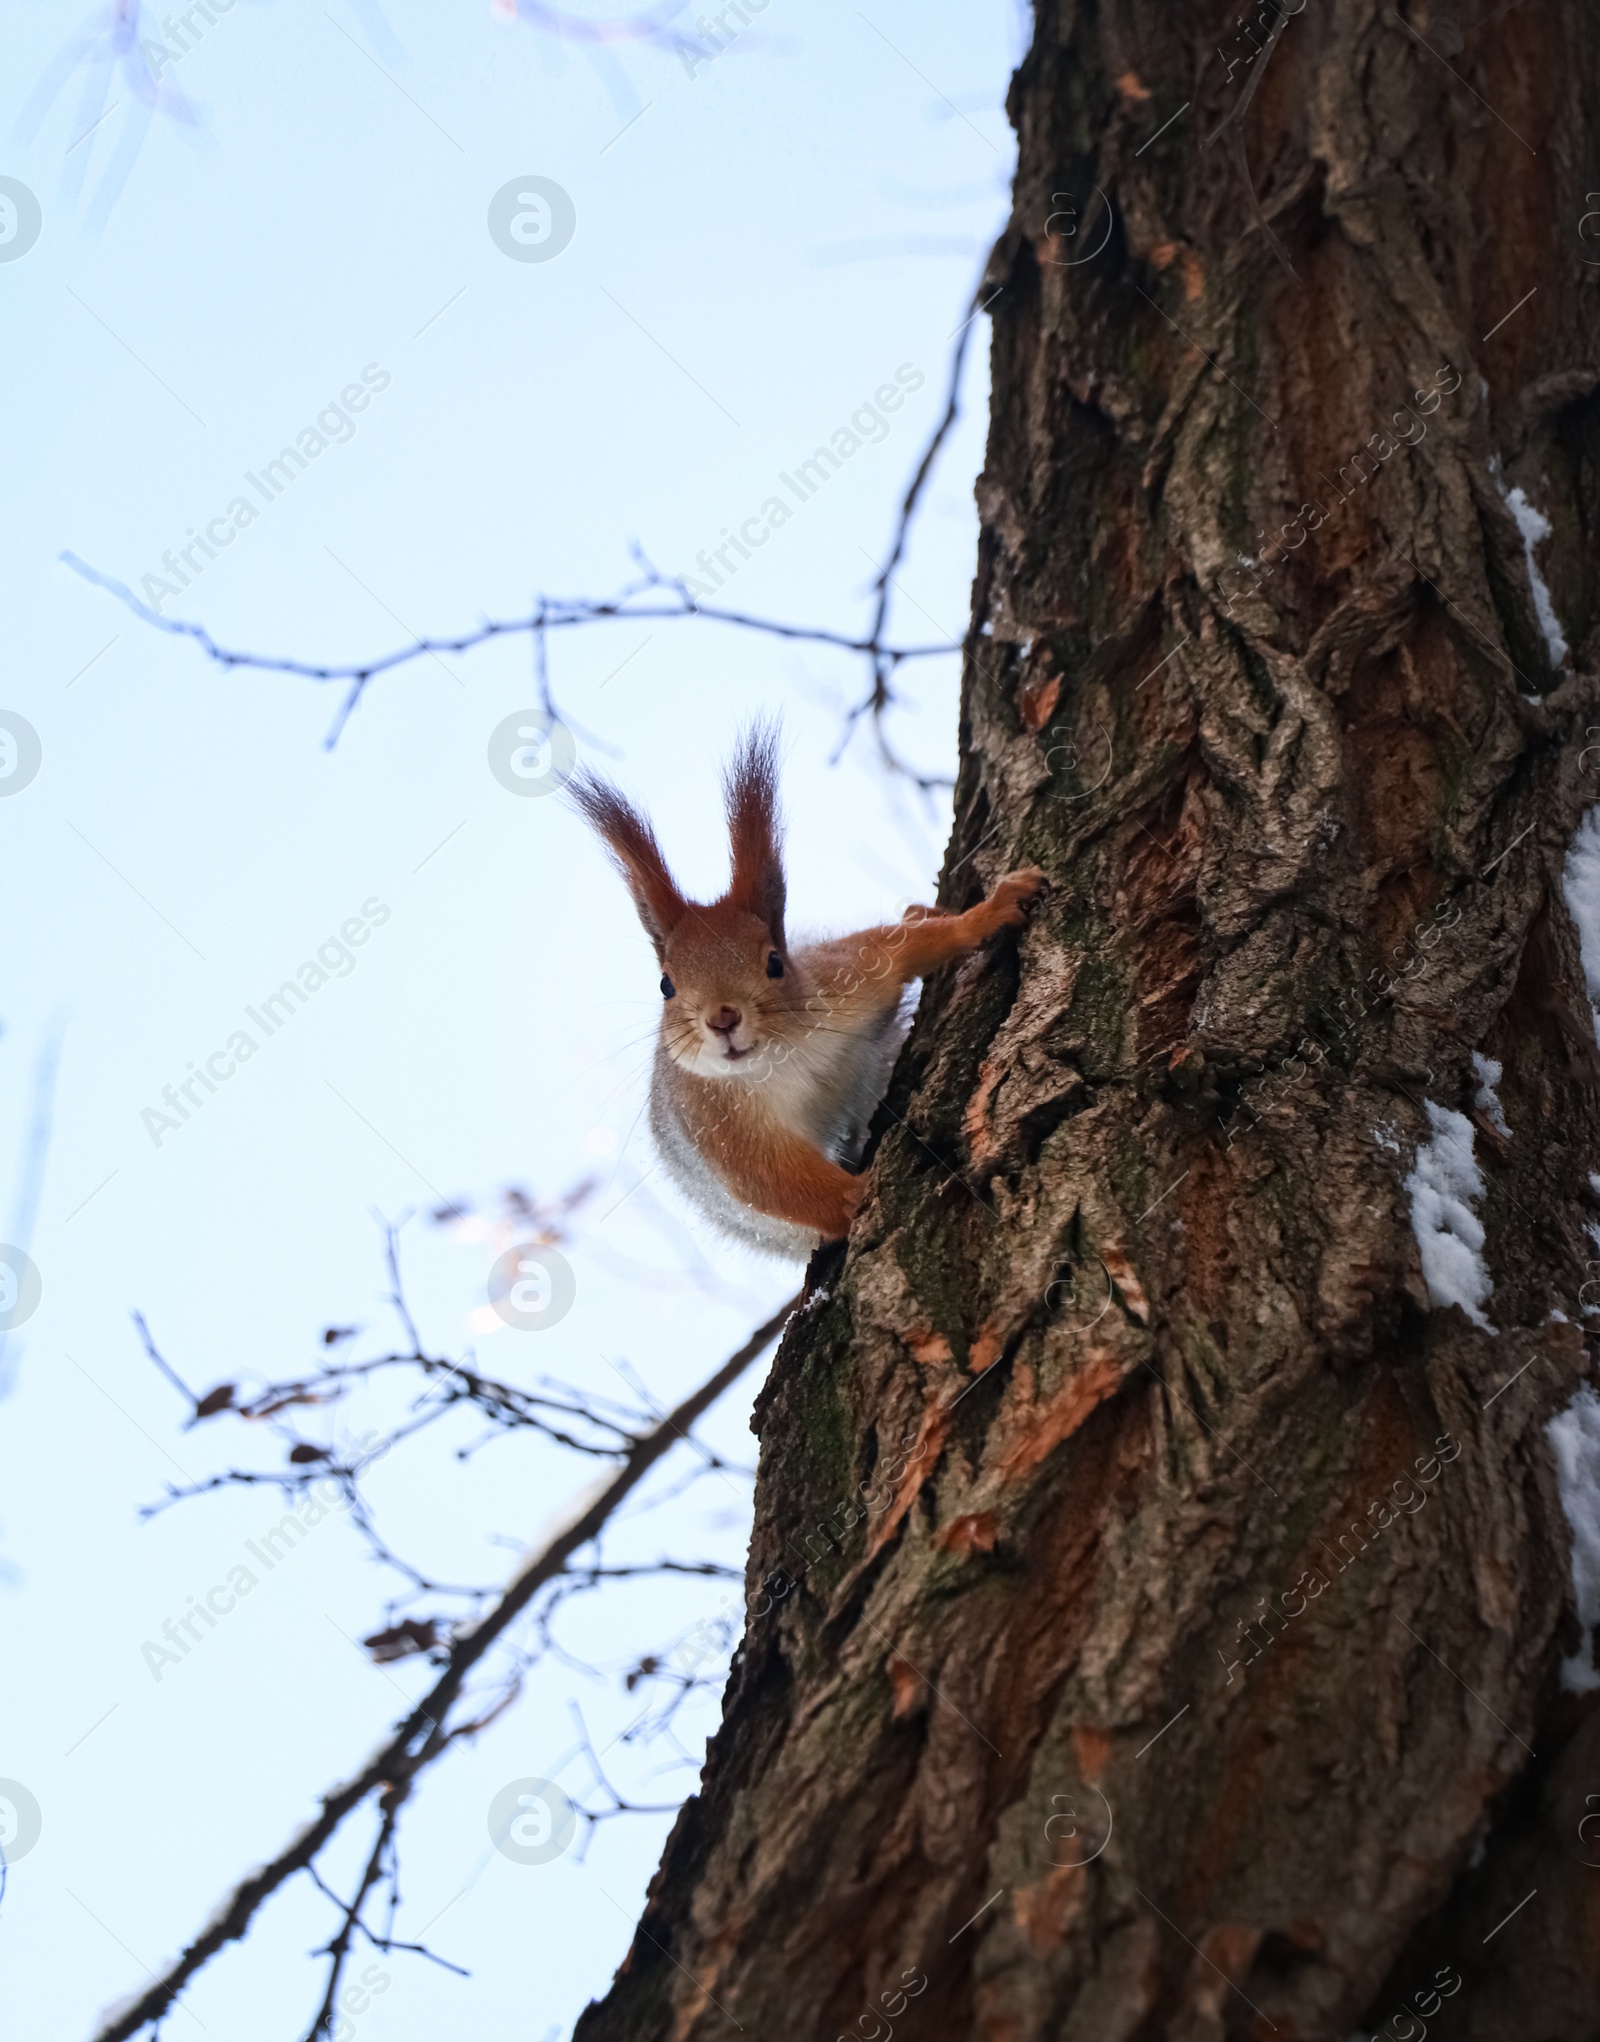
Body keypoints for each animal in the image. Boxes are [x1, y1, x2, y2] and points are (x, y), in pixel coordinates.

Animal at [567, 726, 1044, 1249]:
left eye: (775, 962)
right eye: (665, 985)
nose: (722, 1018)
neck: (780, 1058)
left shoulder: (847, 981)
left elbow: (904, 951)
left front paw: (989, 912)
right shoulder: (714, 1127)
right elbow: (776, 1183)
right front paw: (857, 1195)